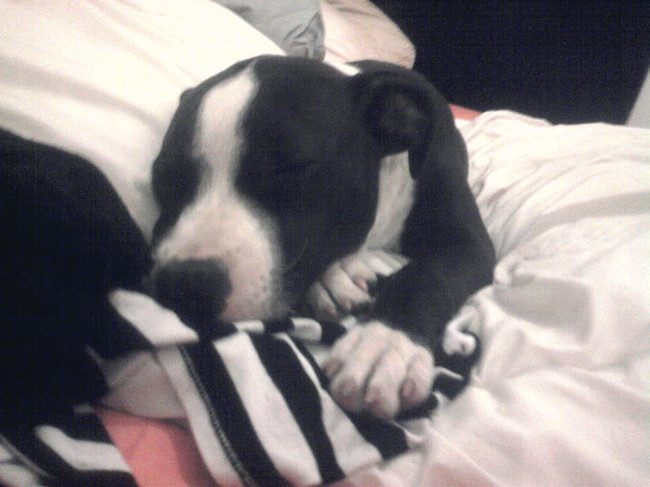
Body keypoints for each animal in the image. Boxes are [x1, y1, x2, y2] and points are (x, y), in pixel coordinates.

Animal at [148, 55, 495, 419]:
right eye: (163, 181)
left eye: (292, 168)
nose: (185, 283)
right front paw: (332, 280)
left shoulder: (468, 243)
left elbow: (424, 276)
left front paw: (383, 343)